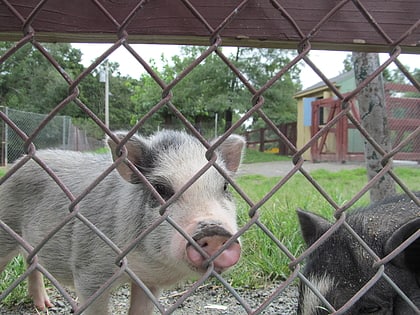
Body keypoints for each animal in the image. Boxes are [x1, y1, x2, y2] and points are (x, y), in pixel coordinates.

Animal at [0, 130, 244, 314]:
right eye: (161, 189)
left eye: (224, 187)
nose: (214, 230)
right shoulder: (88, 271)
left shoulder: (149, 281)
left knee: (31, 262)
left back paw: (45, 307)